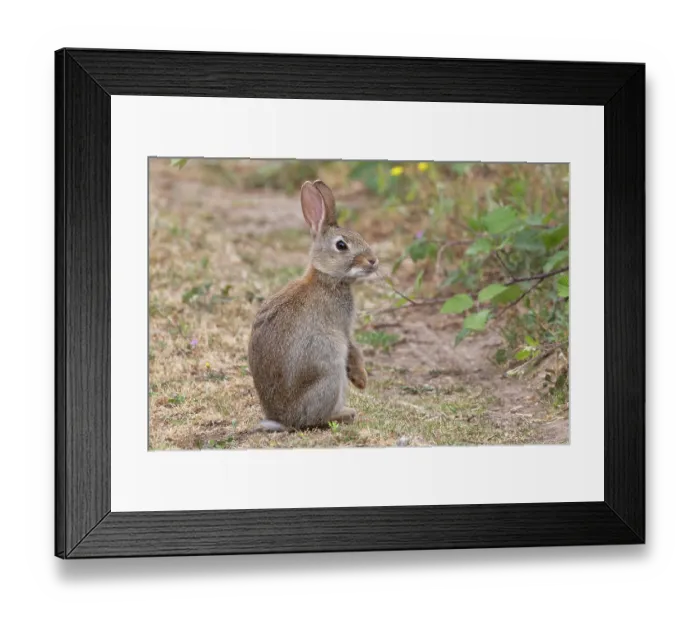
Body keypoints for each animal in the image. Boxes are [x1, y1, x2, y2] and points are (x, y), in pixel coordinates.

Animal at [247, 179, 379, 432]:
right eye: (341, 245)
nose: (373, 261)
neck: (327, 278)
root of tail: (284, 420)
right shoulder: (342, 327)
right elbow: (353, 348)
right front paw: (361, 379)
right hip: (330, 369)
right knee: (315, 419)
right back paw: (345, 414)